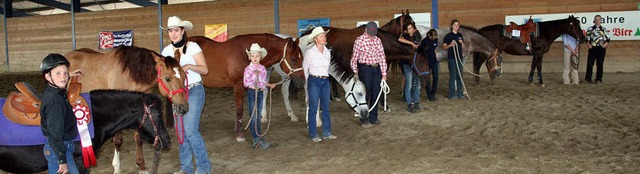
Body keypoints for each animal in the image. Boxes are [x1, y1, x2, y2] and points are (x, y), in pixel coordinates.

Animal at [64, 45, 188, 173]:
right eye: (167, 78)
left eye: (184, 76)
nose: (183, 107)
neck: (130, 76)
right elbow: (118, 141)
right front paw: (117, 167)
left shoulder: (141, 114)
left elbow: (138, 139)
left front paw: (141, 165)